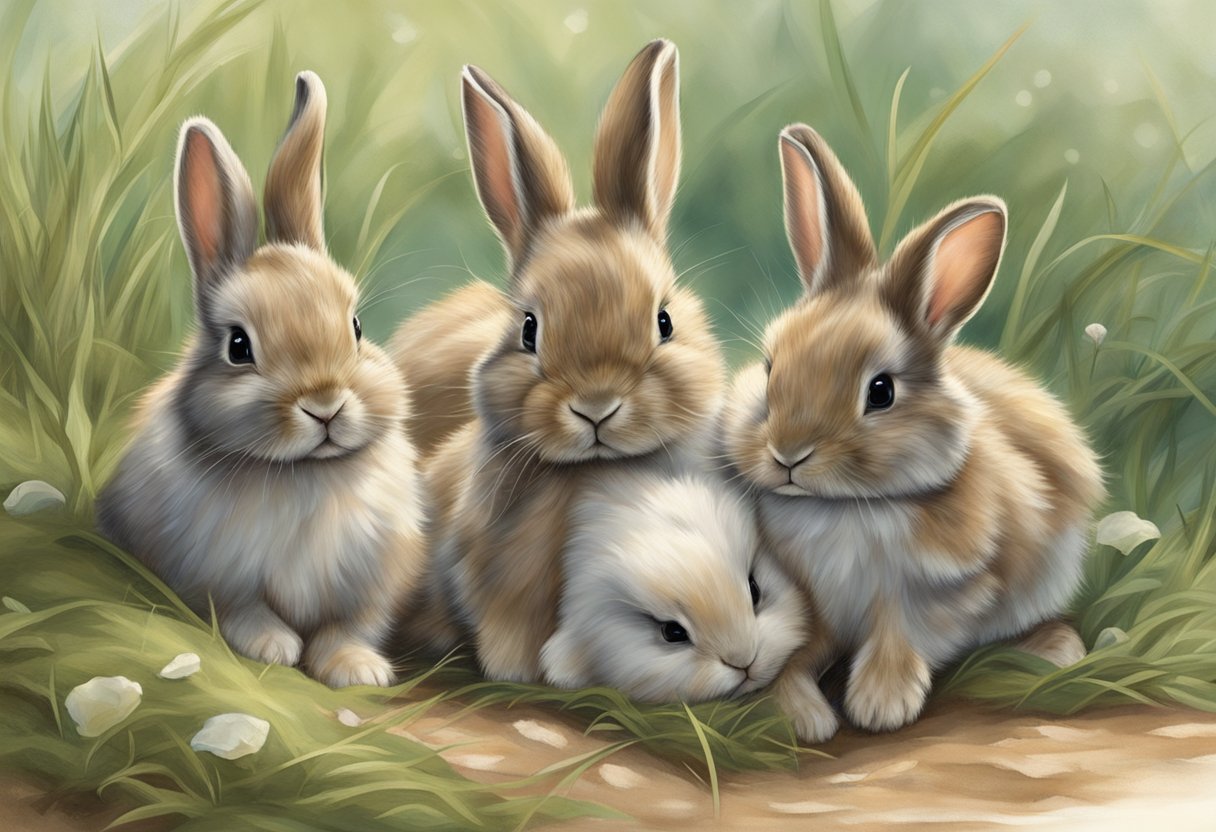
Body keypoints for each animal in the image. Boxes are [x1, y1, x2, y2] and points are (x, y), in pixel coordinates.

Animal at [95, 72, 426, 688]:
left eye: (356, 327)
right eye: (238, 346)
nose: (325, 404)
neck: (305, 475)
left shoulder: (373, 580)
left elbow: (350, 626)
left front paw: (358, 669)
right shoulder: (212, 572)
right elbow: (241, 609)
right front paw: (273, 645)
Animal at [718, 124, 1104, 740]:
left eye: (881, 392)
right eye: (770, 367)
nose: (788, 455)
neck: (847, 508)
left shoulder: (943, 593)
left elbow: (902, 636)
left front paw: (881, 703)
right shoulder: (806, 602)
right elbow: (795, 654)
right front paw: (800, 715)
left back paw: (1055, 650)